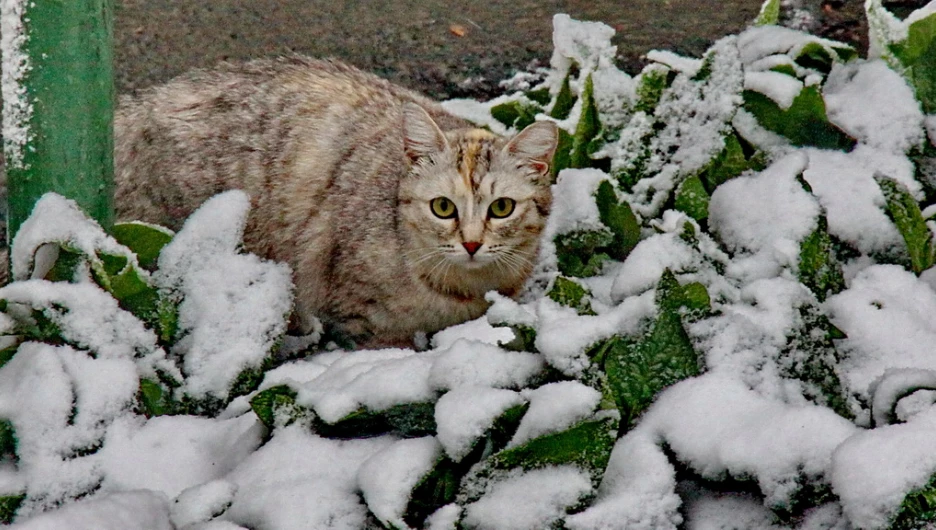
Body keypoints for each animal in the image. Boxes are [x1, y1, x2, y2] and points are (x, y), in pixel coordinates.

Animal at [114, 55, 560, 346]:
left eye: (501, 208)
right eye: (443, 207)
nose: (471, 243)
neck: (464, 288)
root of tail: (137, 103)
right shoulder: (362, 318)